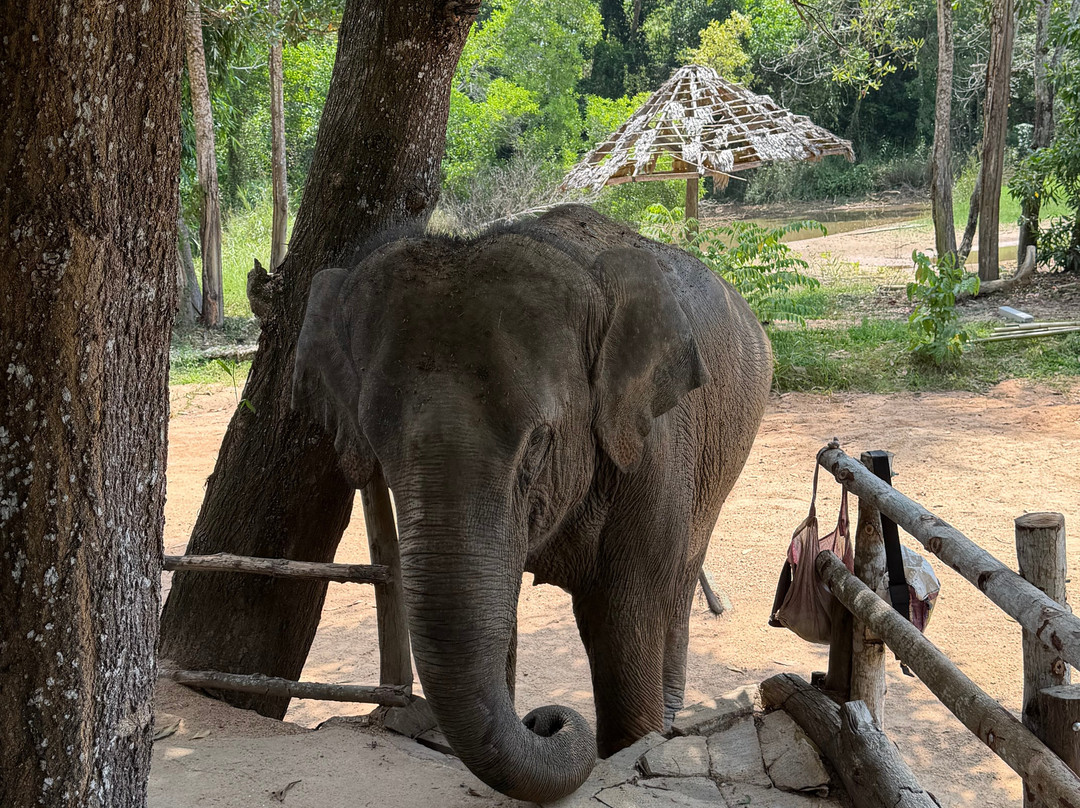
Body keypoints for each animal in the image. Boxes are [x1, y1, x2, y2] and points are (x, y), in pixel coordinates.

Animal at [292, 204, 772, 803]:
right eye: (376, 446)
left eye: (539, 442)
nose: (545, 719)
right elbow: (499, 614)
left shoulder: (655, 449)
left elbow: (627, 609)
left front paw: (635, 744)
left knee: (679, 576)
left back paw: (669, 718)